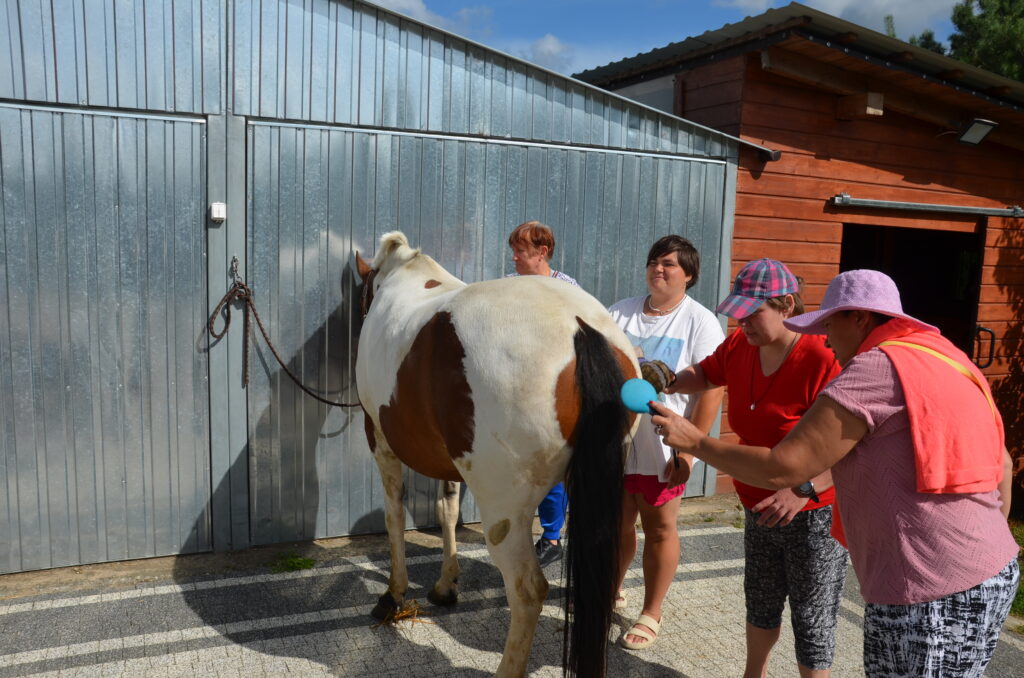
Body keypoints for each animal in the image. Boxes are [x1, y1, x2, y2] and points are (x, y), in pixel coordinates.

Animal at [356, 233, 634, 678]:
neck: (405, 276)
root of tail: (580, 328)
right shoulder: (451, 458)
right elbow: (447, 510)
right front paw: (446, 586)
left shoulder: (379, 437)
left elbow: (394, 516)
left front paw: (393, 594)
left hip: (505, 507)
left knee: (528, 590)